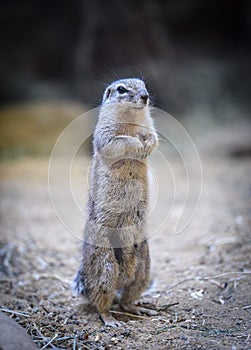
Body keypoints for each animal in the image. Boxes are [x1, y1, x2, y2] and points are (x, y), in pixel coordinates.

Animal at [72, 78, 158, 326]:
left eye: (143, 84)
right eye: (121, 89)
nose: (145, 96)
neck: (132, 120)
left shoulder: (149, 127)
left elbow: (154, 137)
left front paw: (147, 143)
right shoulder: (106, 134)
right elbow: (120, 141)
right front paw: (138, 144)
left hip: (144, 267)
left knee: (126, 299)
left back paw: (141, 308)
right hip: (106, 266)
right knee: (102, 301)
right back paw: (110, 320)